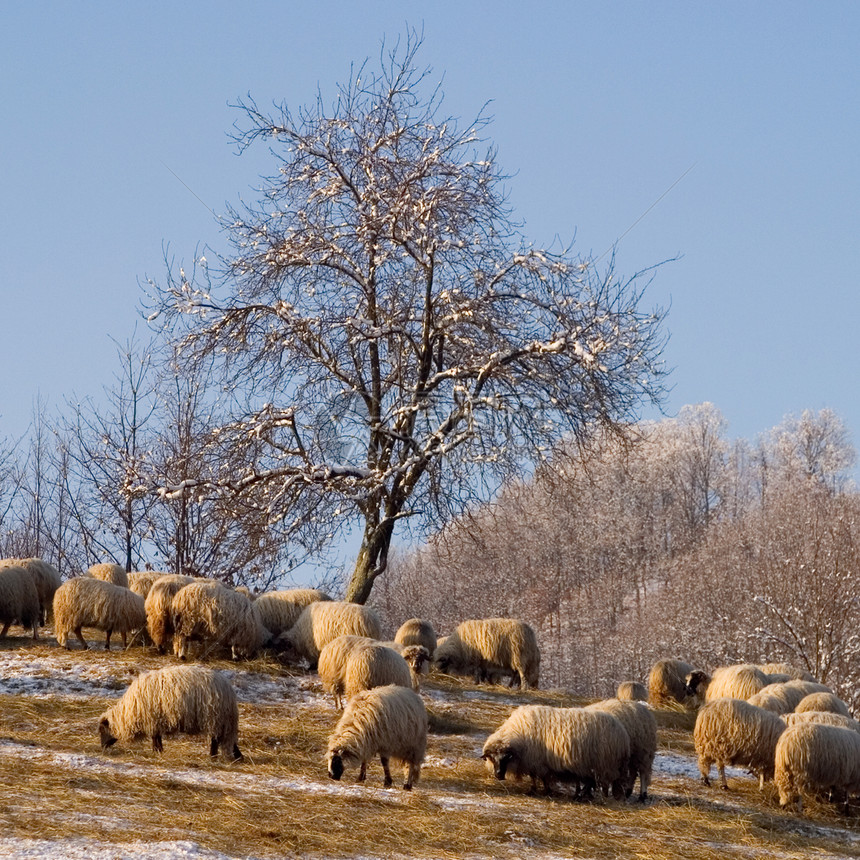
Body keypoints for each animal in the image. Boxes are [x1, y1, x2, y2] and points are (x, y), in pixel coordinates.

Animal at [100, 660, 242, 764]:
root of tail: (228, 689)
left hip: (214, 719)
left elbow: (155, 738)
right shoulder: (155, 721)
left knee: (215, 740)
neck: (128, 712)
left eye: (102, 730)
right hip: (222, 721)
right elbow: (157, 738)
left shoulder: (152, 720)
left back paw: (213, 756)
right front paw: (159, 751)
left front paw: (157, 751)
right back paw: (237, 756)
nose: (102, 747)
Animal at [480, 704, 628, 800]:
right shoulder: (536, 761)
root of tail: (621, 731)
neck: (519, 735)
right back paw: (582, 795)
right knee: (590, 781)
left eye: (506, 758)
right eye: (491, 758)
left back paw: (583, 796)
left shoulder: (536, 760)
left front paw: (540, 790)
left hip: (602, 763)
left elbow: (539, 777)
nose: (498, 775)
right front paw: (539, 789)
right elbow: (538, 777)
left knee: (594, 781)